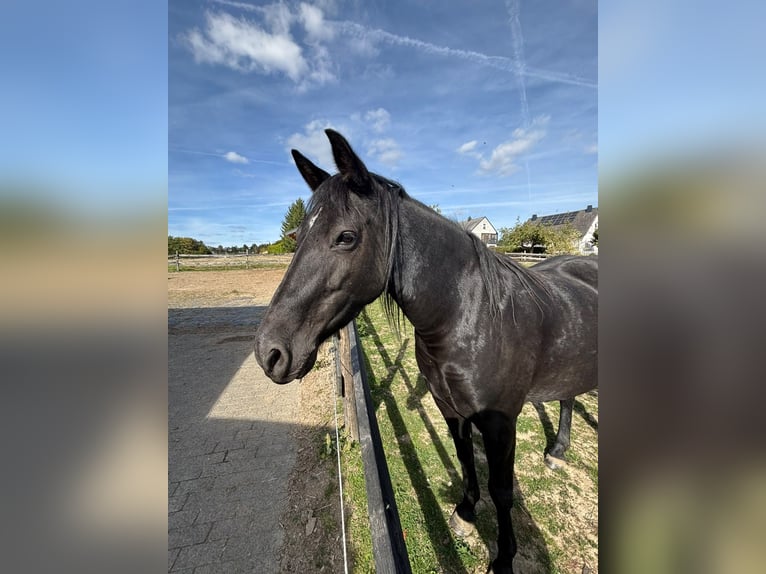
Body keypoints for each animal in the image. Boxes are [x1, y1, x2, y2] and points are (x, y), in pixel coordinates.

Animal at [254, 129, 597, 573]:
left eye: (346, 237)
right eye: (298, 237)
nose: (269, 352)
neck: (470, 315)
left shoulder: (501, 424)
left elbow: (503, 490)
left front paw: (503, 558)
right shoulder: (450, 407)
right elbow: (464, 458)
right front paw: (466, 513)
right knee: (568, 396)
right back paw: (557, 451)